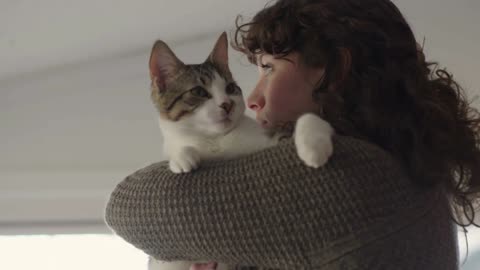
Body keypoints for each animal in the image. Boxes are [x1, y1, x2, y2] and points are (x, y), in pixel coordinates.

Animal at [146, 32, 334, 270]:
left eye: (230, 88)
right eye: (198, 91)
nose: (227, 104)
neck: (218, 141)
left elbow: (307, 119)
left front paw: (313, 146)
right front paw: (181, 156)